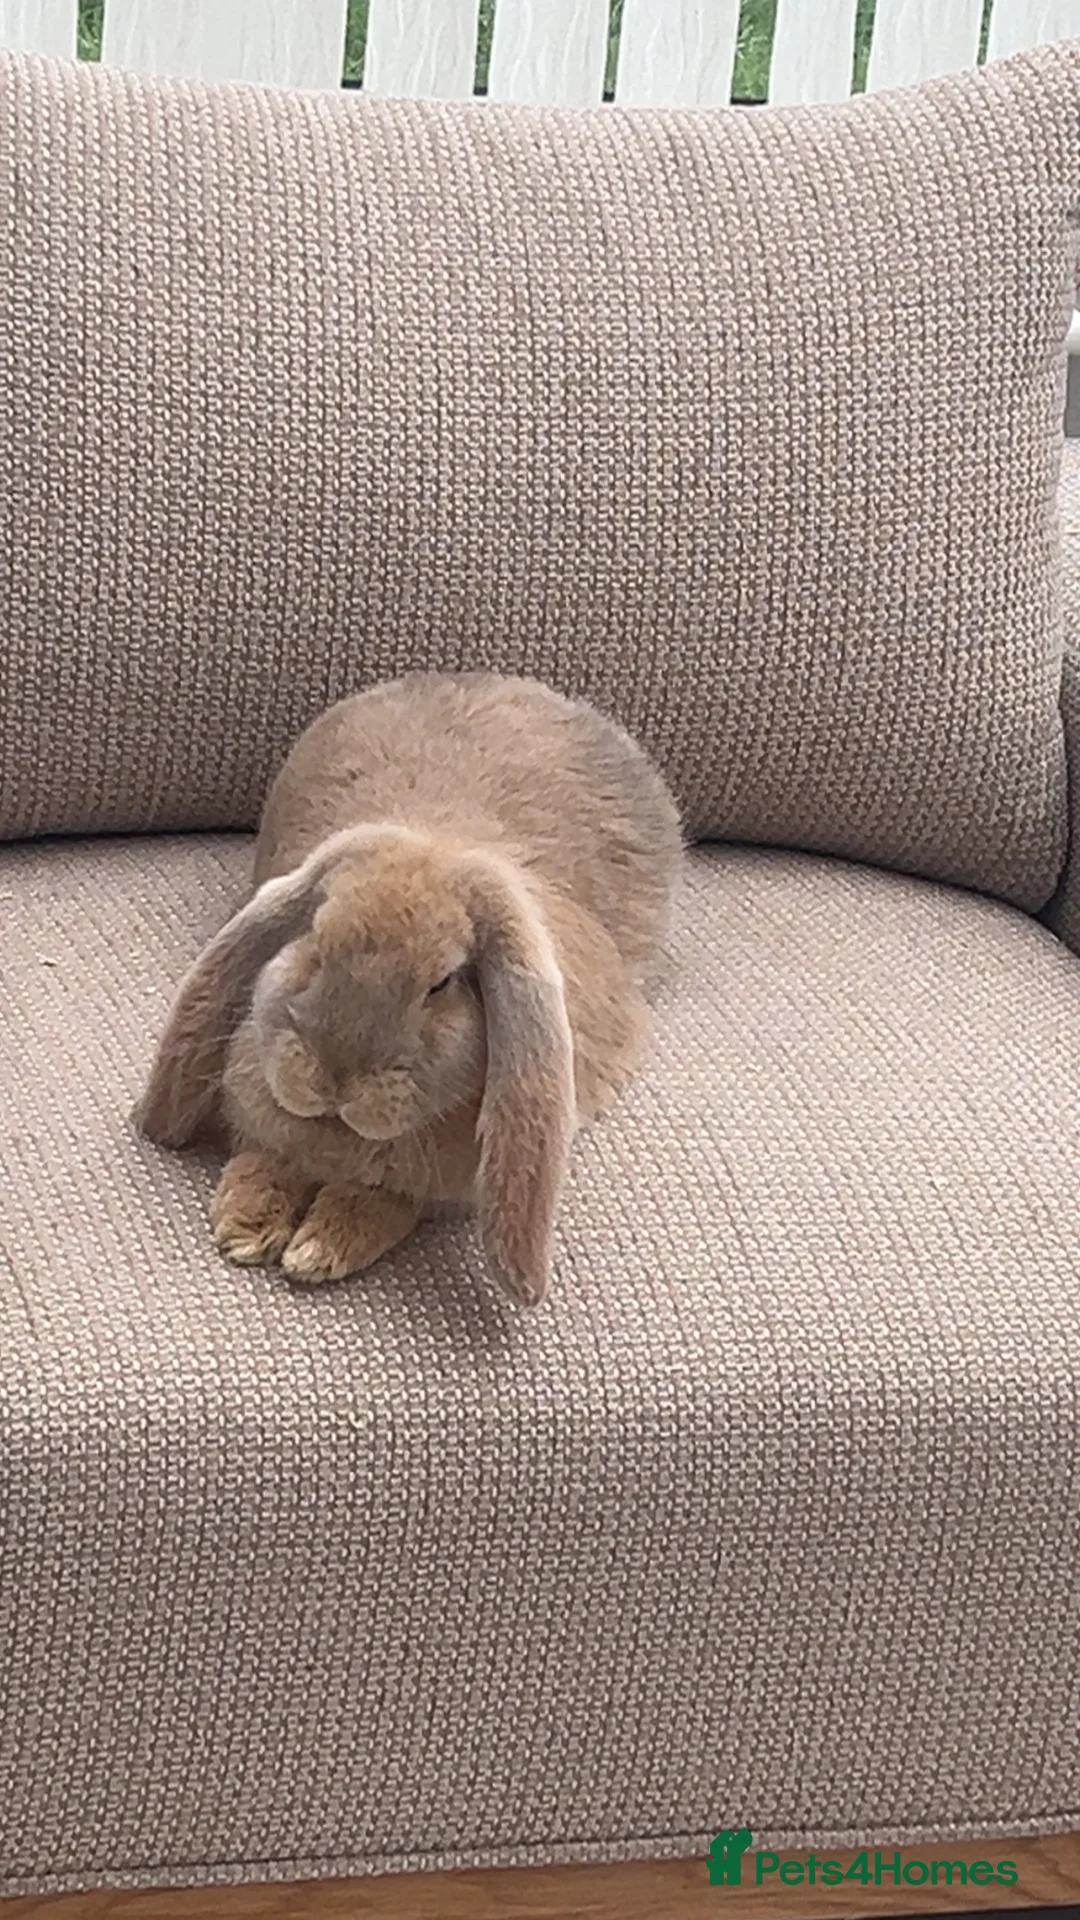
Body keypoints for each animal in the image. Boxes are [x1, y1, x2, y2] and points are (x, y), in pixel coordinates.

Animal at [137, 671, 683, 1306]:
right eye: (315, 937)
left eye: (442, 982)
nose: (336, 1077)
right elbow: (265, 1161)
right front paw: (245, 1226)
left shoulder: (427, 1192)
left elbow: (381, 1203)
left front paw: (319, 1248)